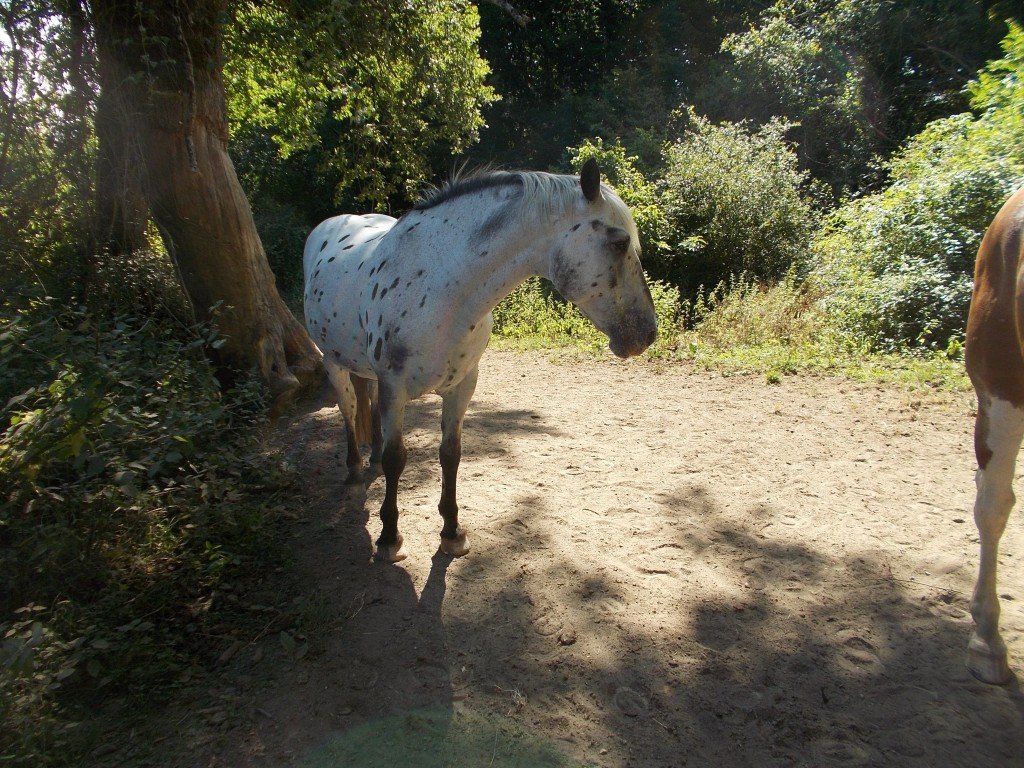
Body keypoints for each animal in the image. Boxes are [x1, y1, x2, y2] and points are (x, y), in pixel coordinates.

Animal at [303, 159, 655, 561]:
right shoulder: (395, 388)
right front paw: (390, 537)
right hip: (334, 364)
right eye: (620, 242)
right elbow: (397, 458)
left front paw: (452, 531)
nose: (647, 333)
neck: (439, 287)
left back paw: (371, 456)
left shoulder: (462, 385)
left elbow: (450, 454)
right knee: (349, 411)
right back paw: (354, 469)